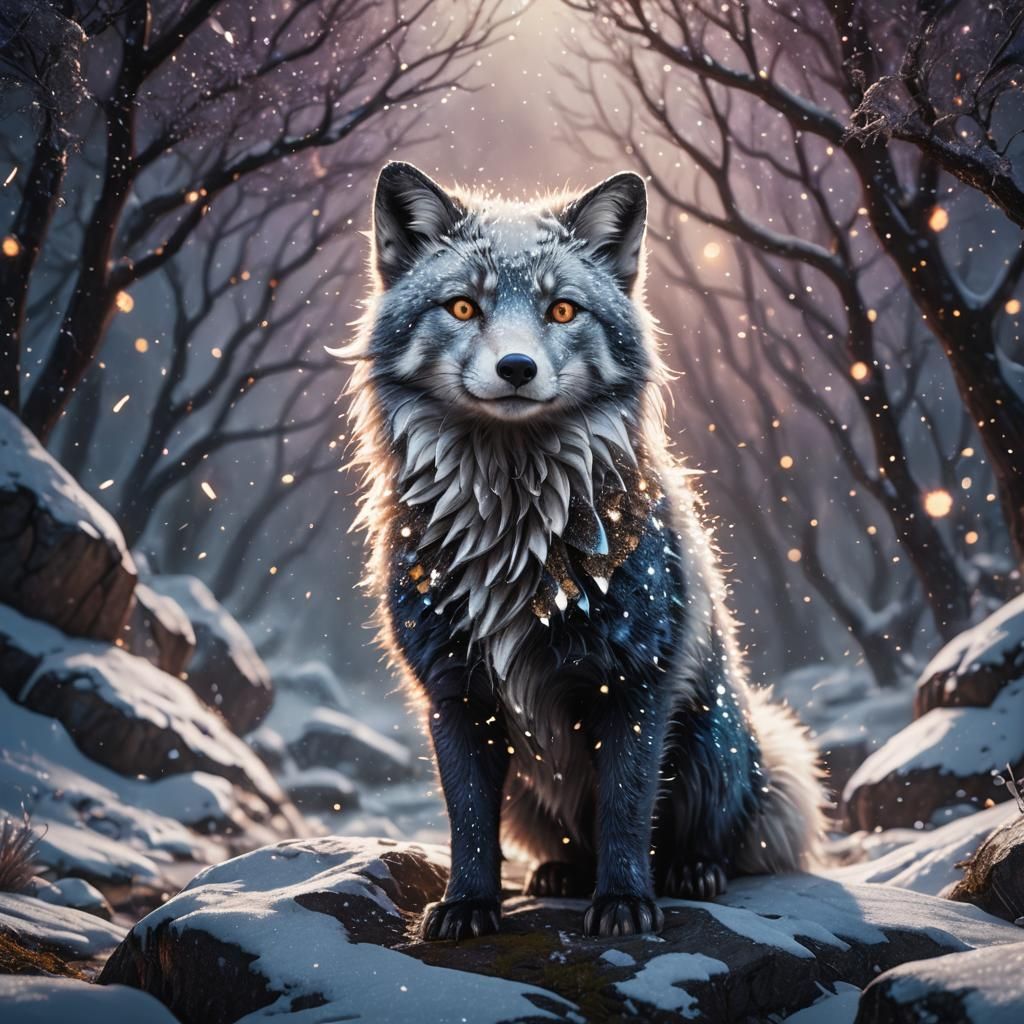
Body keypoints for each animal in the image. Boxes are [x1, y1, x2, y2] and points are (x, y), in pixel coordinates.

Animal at [340, 161, 824, 940]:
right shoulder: (454, 693)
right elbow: (466, 821)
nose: (516, 367)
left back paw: (693, 871)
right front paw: (468, 907)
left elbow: (626, 808)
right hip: (528, 795)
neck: (513, 538)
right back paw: (561, 874)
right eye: (463, 308)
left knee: (715, 836)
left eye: (563, 311)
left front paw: (624, 903)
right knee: (560, 839)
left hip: (714, 748)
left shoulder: (633, 683)